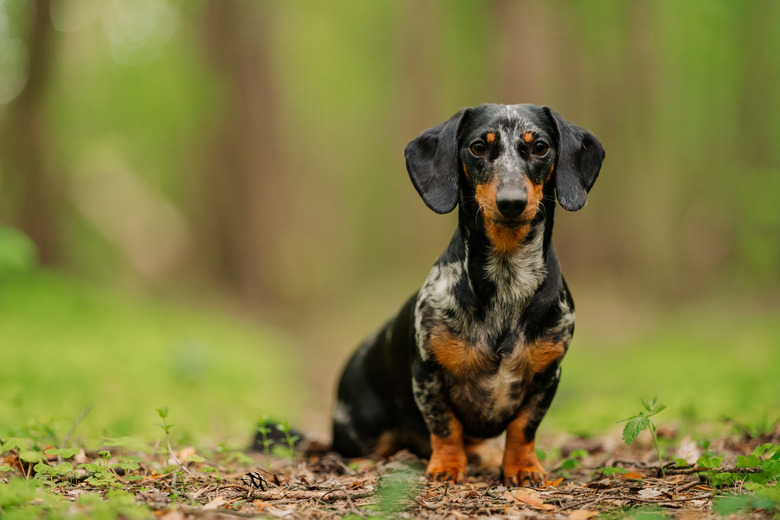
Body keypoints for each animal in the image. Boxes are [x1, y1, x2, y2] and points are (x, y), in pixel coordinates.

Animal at [332, 103, 608, 486]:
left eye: (540, 147)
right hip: (364, 430)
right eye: (478, 147)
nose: (511, 202)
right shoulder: (427, 374)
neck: (508, 279)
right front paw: (447, 467)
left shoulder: (547, 376)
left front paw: (522, 467)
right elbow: (446, 427)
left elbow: (523, 428)